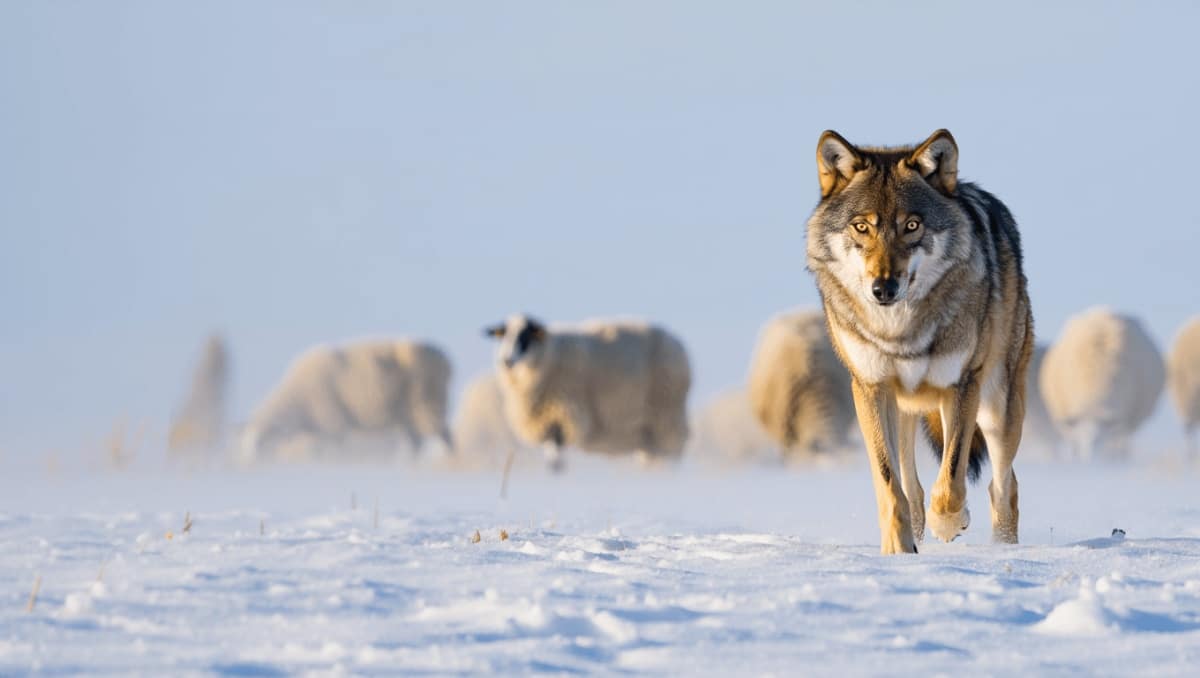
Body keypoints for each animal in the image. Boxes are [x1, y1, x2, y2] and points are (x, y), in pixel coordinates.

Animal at [805, 129, 1033, 554]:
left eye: (911, 225)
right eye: (862, 227)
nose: (883, 288)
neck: (899, 331)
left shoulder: (962, 384)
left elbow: (953, 473)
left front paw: (951, 523)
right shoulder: (870, 387)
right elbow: (889, 482)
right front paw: (897, 547)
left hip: (997, 407)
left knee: (1004, 487)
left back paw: (1002, 548)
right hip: (904, 409)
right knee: (913, 490)